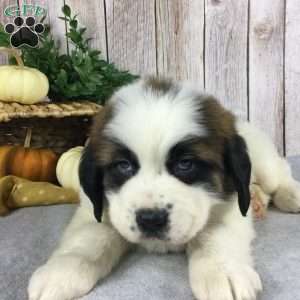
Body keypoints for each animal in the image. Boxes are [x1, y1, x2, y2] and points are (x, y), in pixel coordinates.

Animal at [28, 77, 300, 300]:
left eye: (185, 164)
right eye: (123, 165)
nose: (150, 219)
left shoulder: (230, 202)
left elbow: (215, 233)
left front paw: (222, 271)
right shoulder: (95, 208)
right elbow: (88, 237)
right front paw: (62, 270)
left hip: (263, 162)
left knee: (280, 171)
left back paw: (291, 195)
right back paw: (258, 200)